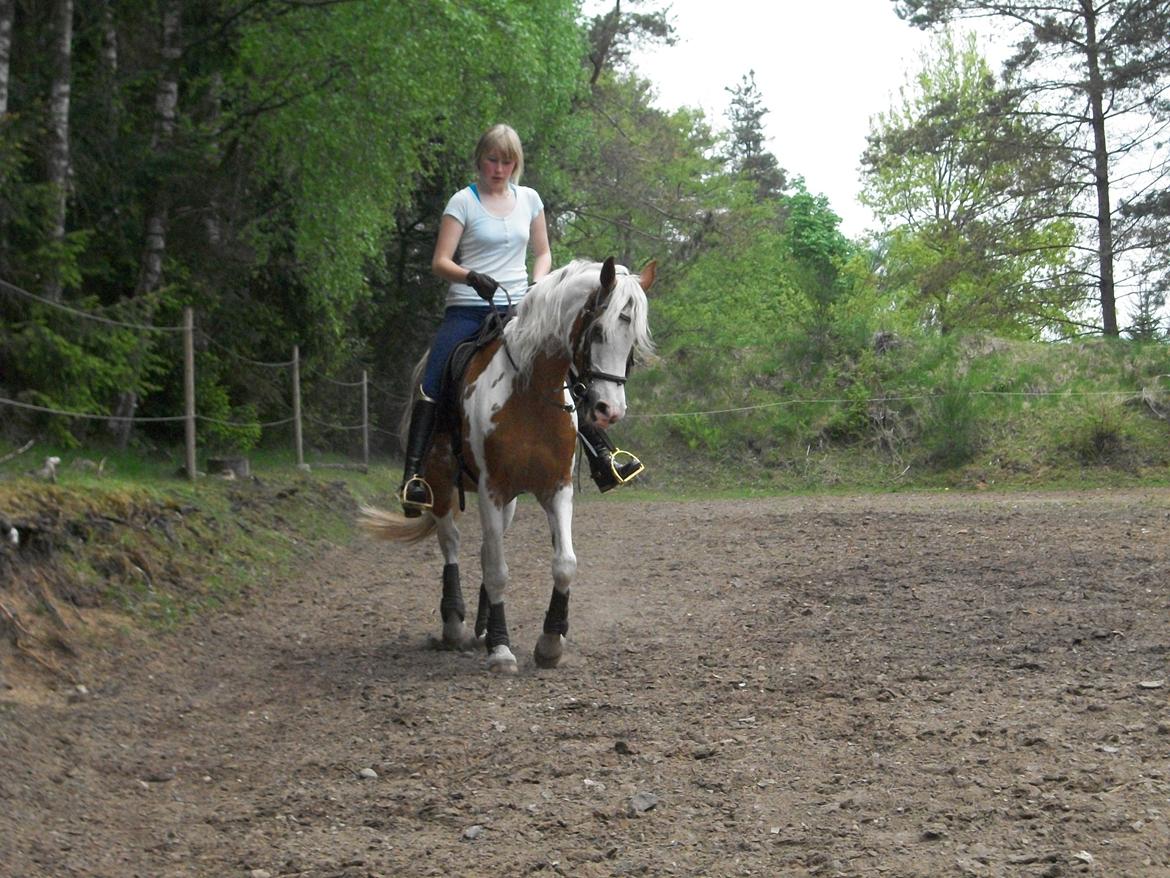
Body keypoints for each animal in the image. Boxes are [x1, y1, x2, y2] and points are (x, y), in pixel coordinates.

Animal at [360, 257, 655, 678]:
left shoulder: (556, 488)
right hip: (441, 485)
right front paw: (501, 649)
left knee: (486, 548)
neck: (530, 391)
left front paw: (550, 642)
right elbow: (497, 570)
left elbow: (564, 564)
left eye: (632, 341)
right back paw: (455, 625)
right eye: (598, 331)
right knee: (451, 542)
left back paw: (482, 629)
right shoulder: (492, 488)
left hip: (510, 502)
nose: (609, 410)